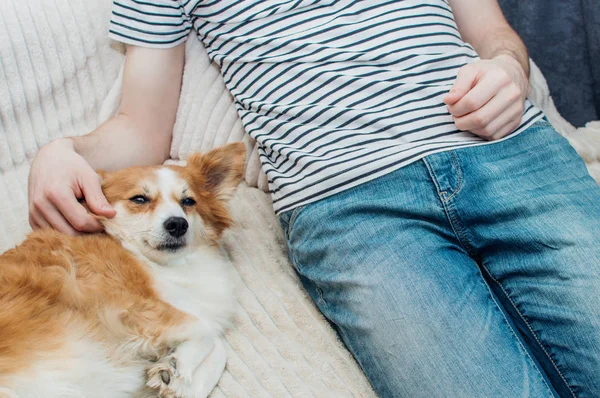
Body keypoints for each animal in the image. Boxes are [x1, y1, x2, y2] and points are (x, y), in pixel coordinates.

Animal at [0, 141, 246, 396]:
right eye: (139, 199)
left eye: (188, 201)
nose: (178, 224)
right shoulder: (130, 307)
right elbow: (208, 332)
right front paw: (179, 364)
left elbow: (217, 352)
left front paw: (175, 378)